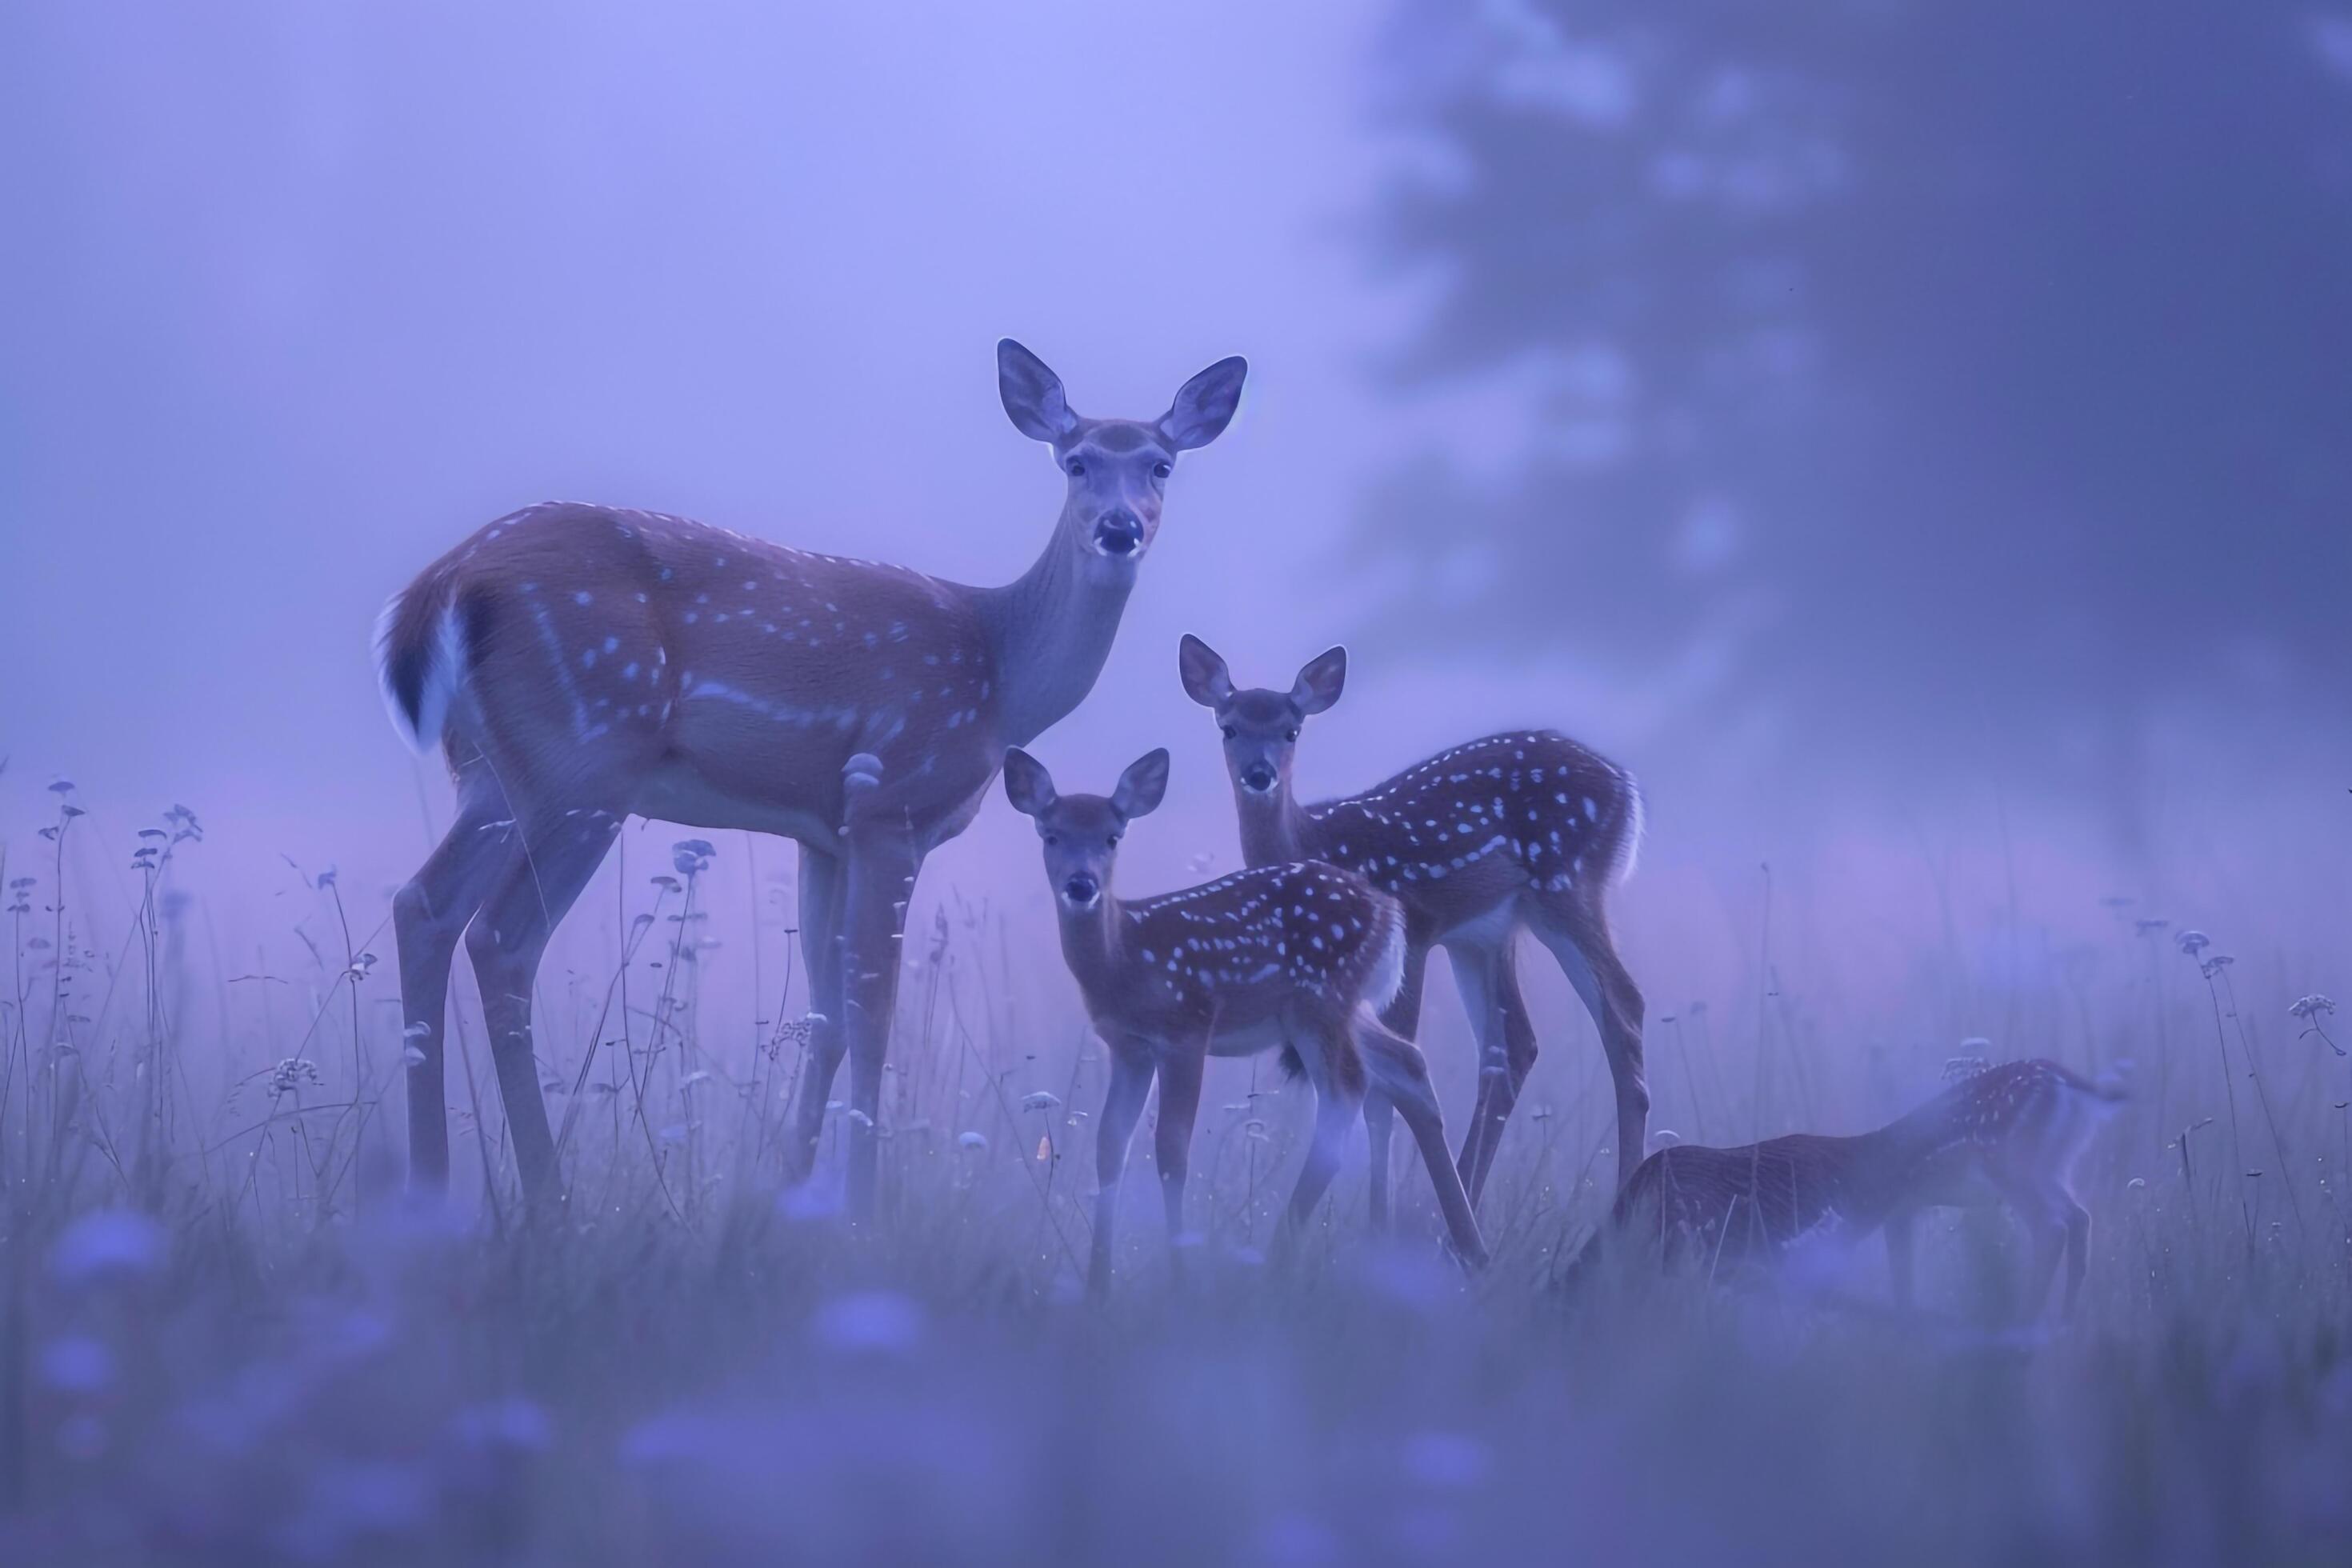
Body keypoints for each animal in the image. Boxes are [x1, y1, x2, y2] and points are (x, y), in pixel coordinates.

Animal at [376, 341, 1251, 1213]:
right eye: (1076, 461)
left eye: (1161, 464)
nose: (1119, 528)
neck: (1002, 676)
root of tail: (442, 582)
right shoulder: (891, 806)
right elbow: (871, 1012)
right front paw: (860, 1203)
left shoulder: (824, 832)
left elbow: (825, 1015)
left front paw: (785, 1190)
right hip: (587, 755)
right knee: (503, 937)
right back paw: (547, 1198)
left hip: (494, 772)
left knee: (424, 904)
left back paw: (428, 1188)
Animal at [1006, 752, 1486, 1298]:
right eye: (1050, 835)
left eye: (1113, 836)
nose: (1081, 884)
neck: (1125, 956)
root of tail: (1389, 910)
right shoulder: (1127, 1045)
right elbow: (1111, 1148)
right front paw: (1097, 1288)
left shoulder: (1188, 1027)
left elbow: (1172, 1151)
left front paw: (1180, 1276)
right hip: (1344, 1007)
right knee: (1408, 1062)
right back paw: (1473, 1253)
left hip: (1319, 1001)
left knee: (1346, 1092)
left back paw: (1279, 1257)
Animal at [1176, 639, 1655, 1203]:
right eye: (1228, 728)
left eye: (1292, 730)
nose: (1259, 774)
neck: (1315, 842)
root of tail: (1626, 786)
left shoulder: (1416, 931)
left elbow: (1385, 1093)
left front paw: (1378, 1216)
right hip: (1487, 932)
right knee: (1512, 1049)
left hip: (1565, 883)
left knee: (1622, 1007)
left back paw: (1620, 1203)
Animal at [1562, 1067, 2135, 1316]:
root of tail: (2077, 1084)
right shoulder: (1894, 1214)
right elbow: (1900, 1279)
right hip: (2051, 1165)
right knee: (2079, 1216)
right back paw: (2062, 1317)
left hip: (2013, 1167)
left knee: (2056, 1223)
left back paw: (2031, 1317)